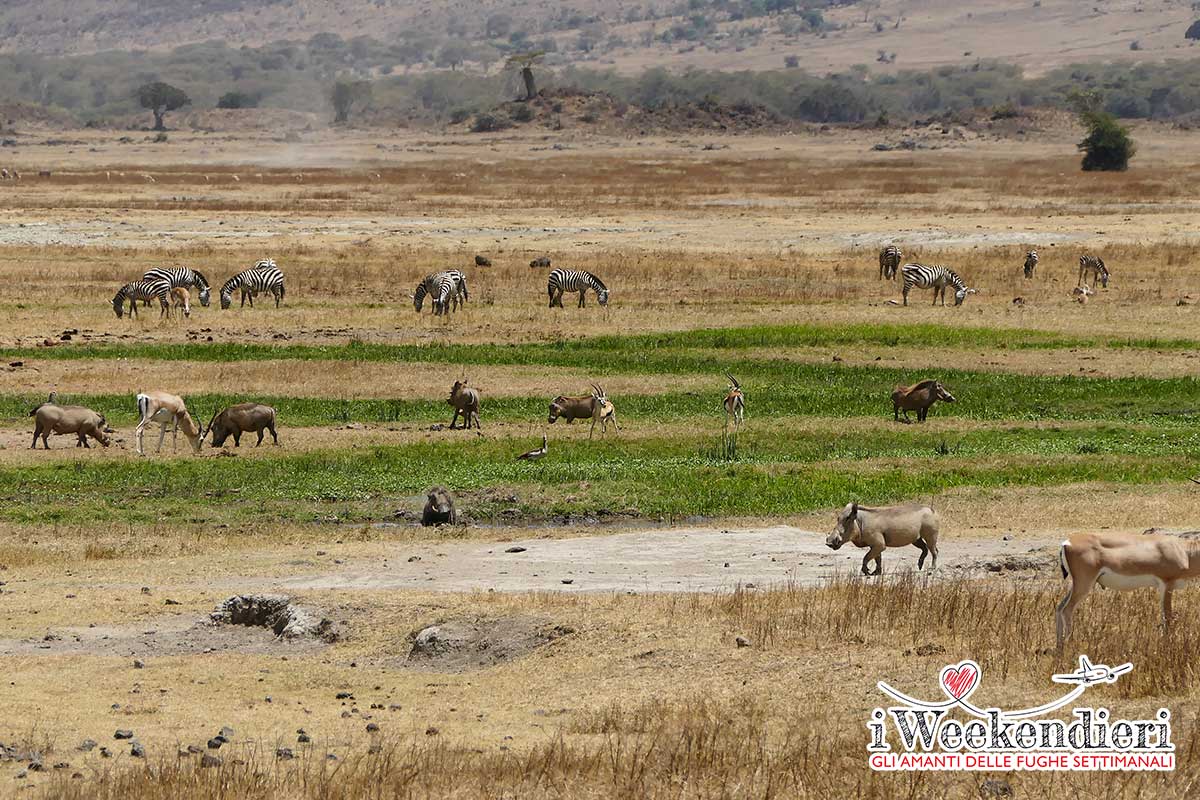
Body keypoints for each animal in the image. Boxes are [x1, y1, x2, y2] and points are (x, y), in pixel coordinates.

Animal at [1060, 532, 1200, 652]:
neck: (1185, 551)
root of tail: (1067, 543)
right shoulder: (1167, 584)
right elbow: (1168, 618)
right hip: (1084, 584)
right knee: (1067, 610)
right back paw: (1069, 647)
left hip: (1078, 586)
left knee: (1059, 607)